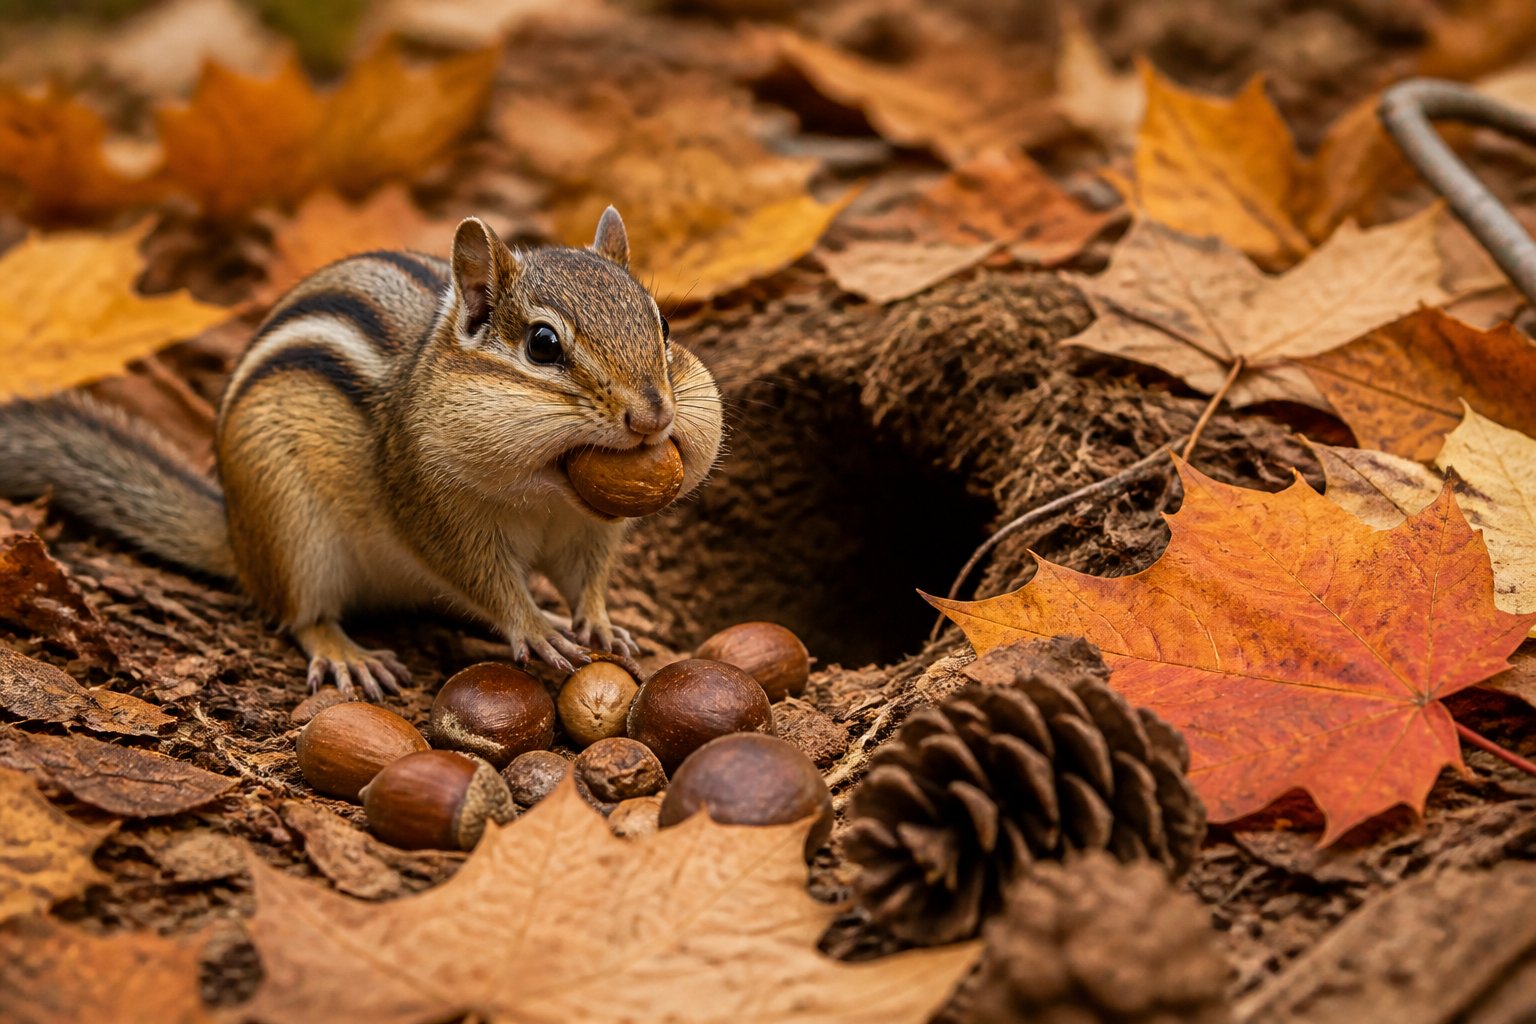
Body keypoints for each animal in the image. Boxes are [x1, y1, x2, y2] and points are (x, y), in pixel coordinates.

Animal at [0, 208, 724, 700]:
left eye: (663, 324)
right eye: (543, 345)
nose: (653, 416)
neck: (547, 490)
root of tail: (239, 538)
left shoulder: (586, 531)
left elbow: (589, 580)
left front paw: (603, 624)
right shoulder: (431, 509)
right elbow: (482, 579)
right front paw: (536, 625)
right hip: (293, 529)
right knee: (302, 614)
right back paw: (347, 652)